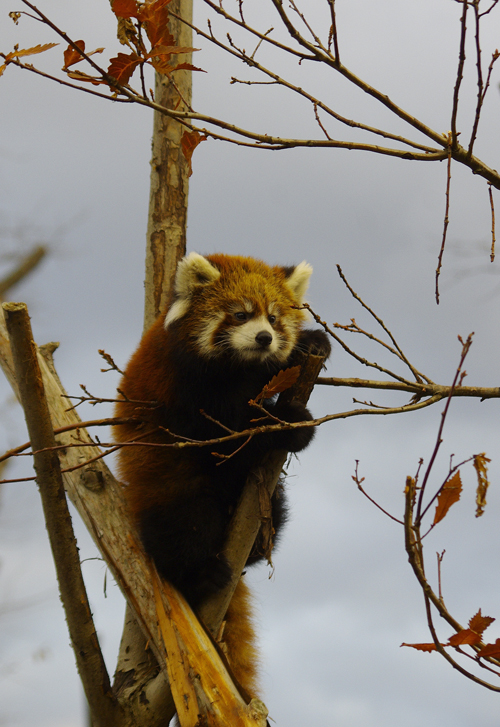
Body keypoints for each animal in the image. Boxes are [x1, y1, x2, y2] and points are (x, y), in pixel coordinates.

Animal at [114, 253, 330, 696]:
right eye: (241, 314)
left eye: (275, 318)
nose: (264, 338)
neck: (238, 366)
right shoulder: (189, 389)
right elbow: (230, 431)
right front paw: (289, 424)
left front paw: (310, 344)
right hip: (168, 480)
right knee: (183, 524)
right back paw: (200, 574)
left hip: (267, 500)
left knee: (273, 513)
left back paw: (253, 547)